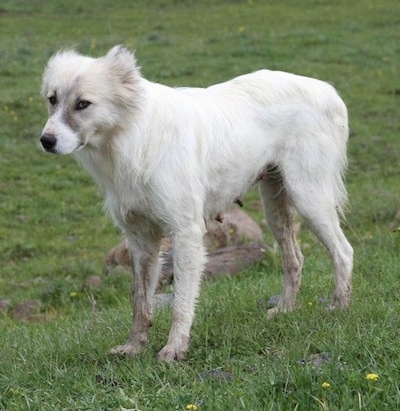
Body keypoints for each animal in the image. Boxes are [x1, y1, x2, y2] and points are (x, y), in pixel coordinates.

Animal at [40, 44, 354, 360]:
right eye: (52, 100)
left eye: (83, 104)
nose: (46, 141)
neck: (133, 135)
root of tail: (327, 90)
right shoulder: (140, 238)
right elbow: (140, 300)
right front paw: (133, 346)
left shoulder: (186, 232)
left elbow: (181, 301)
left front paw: (174, 349)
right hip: (275, 206)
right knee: (294, 260)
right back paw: (285, 310)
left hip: (309, 197)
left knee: (343, 251)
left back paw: (339, 307)